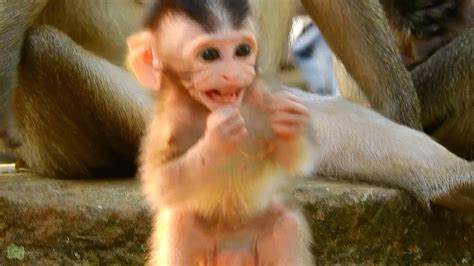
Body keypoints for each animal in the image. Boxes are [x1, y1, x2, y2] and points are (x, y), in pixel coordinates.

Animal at [128, 0, 316, 266]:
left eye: (242, 50)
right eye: (210, 55)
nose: (233, 74)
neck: (206, 109)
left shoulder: (261, 97)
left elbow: (291, 159)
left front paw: (290, 120)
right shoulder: (168, 123)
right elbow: (161, 184)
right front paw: (217, 138)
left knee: (286, 227)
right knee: (180, 224)